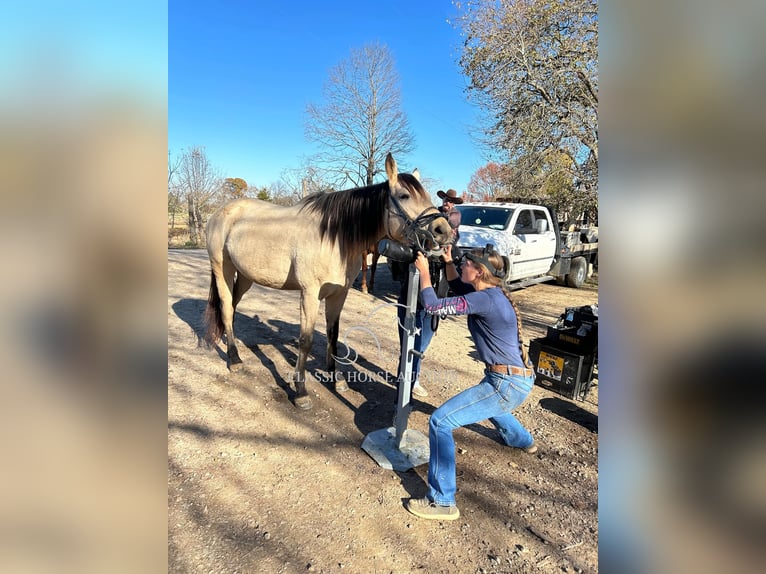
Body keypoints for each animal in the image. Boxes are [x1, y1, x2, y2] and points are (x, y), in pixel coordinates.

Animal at [207, 154, 452, 410]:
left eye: (427, 196)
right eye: (404, 195)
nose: (444, 231)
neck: (333, 238)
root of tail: (219, 213)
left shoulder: (339, 294)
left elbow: (333, 334)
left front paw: (336, 380)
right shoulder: (309, 294)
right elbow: (306, 340)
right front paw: (301, 391)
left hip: (245, 276)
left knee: (232, 306)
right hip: (222, 270)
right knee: (226, 308)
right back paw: (234, 359)